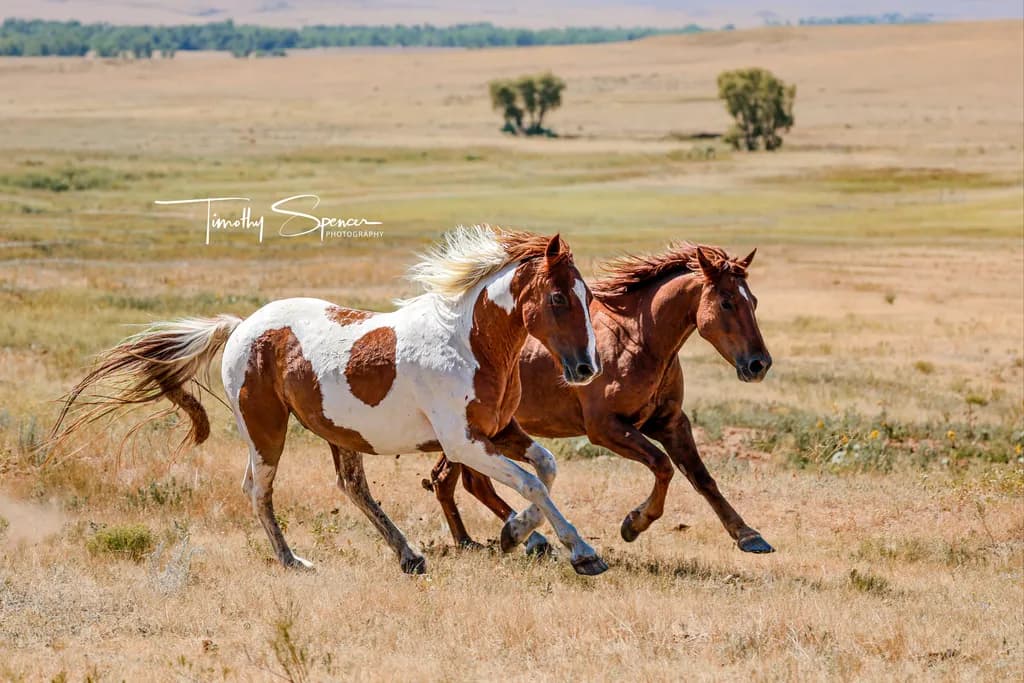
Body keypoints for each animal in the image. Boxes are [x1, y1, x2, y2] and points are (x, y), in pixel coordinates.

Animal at [51, 226, 611, 575]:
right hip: (266, 430)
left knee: (352, 488)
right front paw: (579, 552)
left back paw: (408, 557)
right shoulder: (464, 443)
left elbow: (547, 466)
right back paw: (292, 561)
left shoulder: (498, 431)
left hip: (341, 433)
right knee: (259, 489)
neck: (468, 344)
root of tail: (242, 326)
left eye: (588, 297)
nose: (586, 368)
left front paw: (519, 533)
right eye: (558, 298)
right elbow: (530, 482)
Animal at [424, 243, 775, 554]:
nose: (759, 364)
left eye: (755, 301)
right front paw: (634, 523)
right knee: (471, 482)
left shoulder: (671, 422)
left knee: (449, 480)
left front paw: (748, 535)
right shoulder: (606, 428)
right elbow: (662, 466)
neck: (636, 341)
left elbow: (701, 477)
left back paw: (468, 540)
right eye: (727, 302)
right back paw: (525, 539)